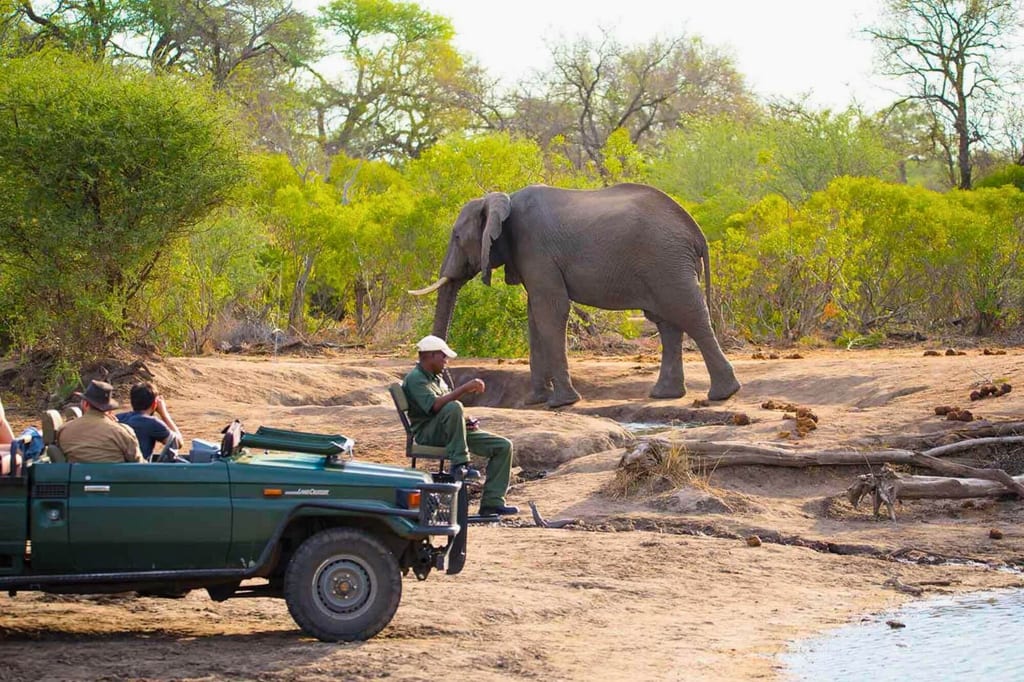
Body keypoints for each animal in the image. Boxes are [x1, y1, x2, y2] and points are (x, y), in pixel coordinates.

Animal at [409, 183, 741, 408]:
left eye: (456, 237)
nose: (449, 385)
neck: (502, 199)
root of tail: (696, 232)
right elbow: (535, 316)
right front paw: (535, 401)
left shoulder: (535, 248)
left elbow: (550, 311)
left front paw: (561, 402)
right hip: (665, 263)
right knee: (667, 322)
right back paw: (664, 394)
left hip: (667, 261)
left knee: (689, 313)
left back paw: (723, 393)